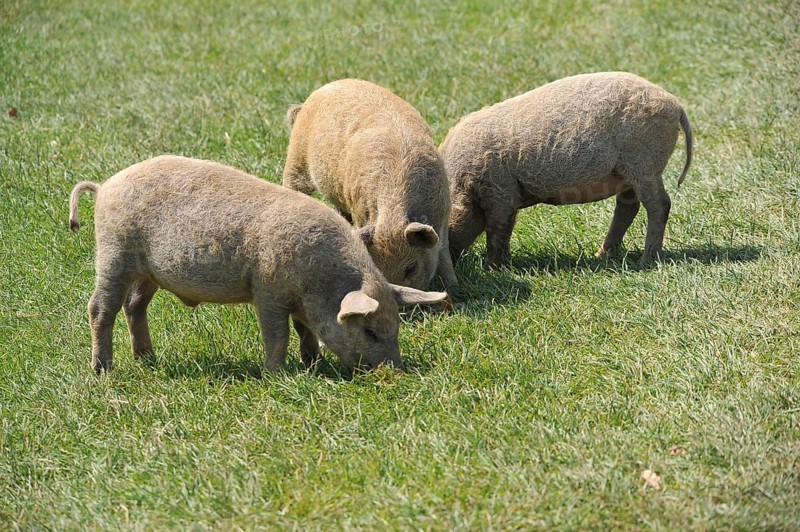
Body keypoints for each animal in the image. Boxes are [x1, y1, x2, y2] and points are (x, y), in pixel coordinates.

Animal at [69, 155, 447, 374]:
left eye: (395, 328)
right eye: (369, 330)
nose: (394, 371)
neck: (318, 280)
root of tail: (104, 186)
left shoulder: (299, 301)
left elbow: (305, 330)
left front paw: (313, 364)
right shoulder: (268, 288)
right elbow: (277, 334)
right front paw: (276, 374)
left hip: (148, 272)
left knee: (134, 306)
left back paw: (148, 360)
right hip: (114, 251)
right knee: (100, 308)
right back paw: (103, 370)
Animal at [282, 79, 458, 290]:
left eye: (411, 268)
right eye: (378, 267)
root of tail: (320, 91)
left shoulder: (444, 212)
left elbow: (444, 253)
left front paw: (455, 287)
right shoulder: (360, 212)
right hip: (296, 157)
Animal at [441, 71, 693, 268]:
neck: (461, 183)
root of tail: (674, 103)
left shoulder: (500, 190)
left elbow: (498, 229)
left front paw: (491, 268)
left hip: (644, 164)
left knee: (659, 204)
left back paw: (647, 259)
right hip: (628, 173)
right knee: (627, 208)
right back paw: (601, 256)